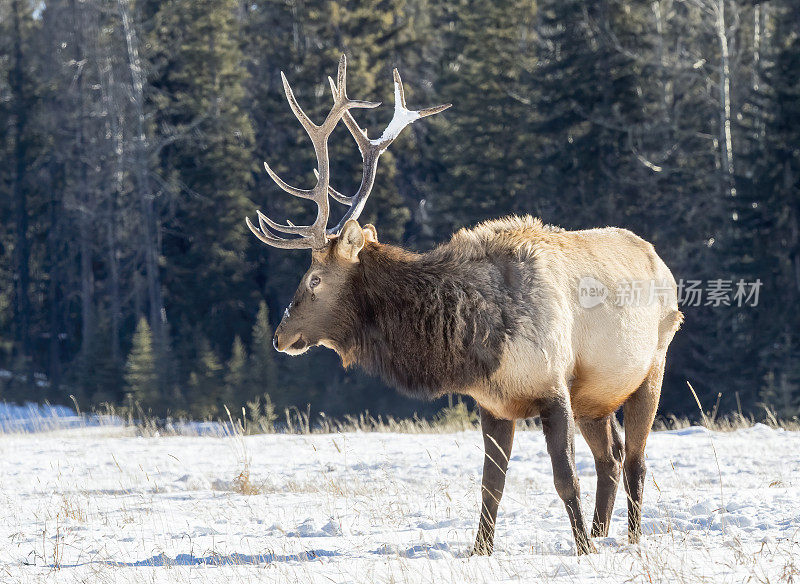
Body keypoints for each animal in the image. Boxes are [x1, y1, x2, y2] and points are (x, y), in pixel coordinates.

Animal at [248, 56, 680, 556]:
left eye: (313, 279)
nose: (279, 335)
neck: (478, 342)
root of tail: (662, 264)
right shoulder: (494, 404)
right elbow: (491, 485)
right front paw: (480, 551)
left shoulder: (554, 388)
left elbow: (564, 478)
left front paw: (582, 553)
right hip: (596, 396)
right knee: (610, 458)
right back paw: (600, 532)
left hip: (650, 368)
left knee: (635, 461)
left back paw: (626, 539)